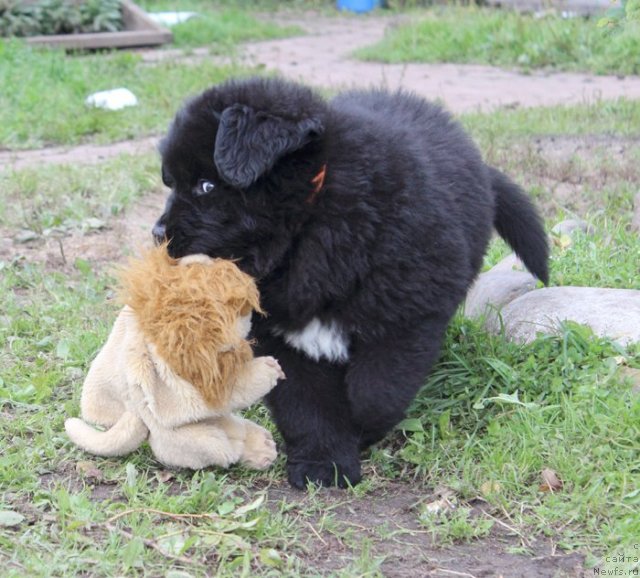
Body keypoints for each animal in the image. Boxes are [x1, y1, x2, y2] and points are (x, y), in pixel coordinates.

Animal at [152, 74, 548, 484]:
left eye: (206, 186)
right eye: (170, 182)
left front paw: (361, 430)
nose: (157, 234)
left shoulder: (408, 315)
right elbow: (305, 405)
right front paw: (322, 463)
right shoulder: (281, 335)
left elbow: (377, 391)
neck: (308, 225)